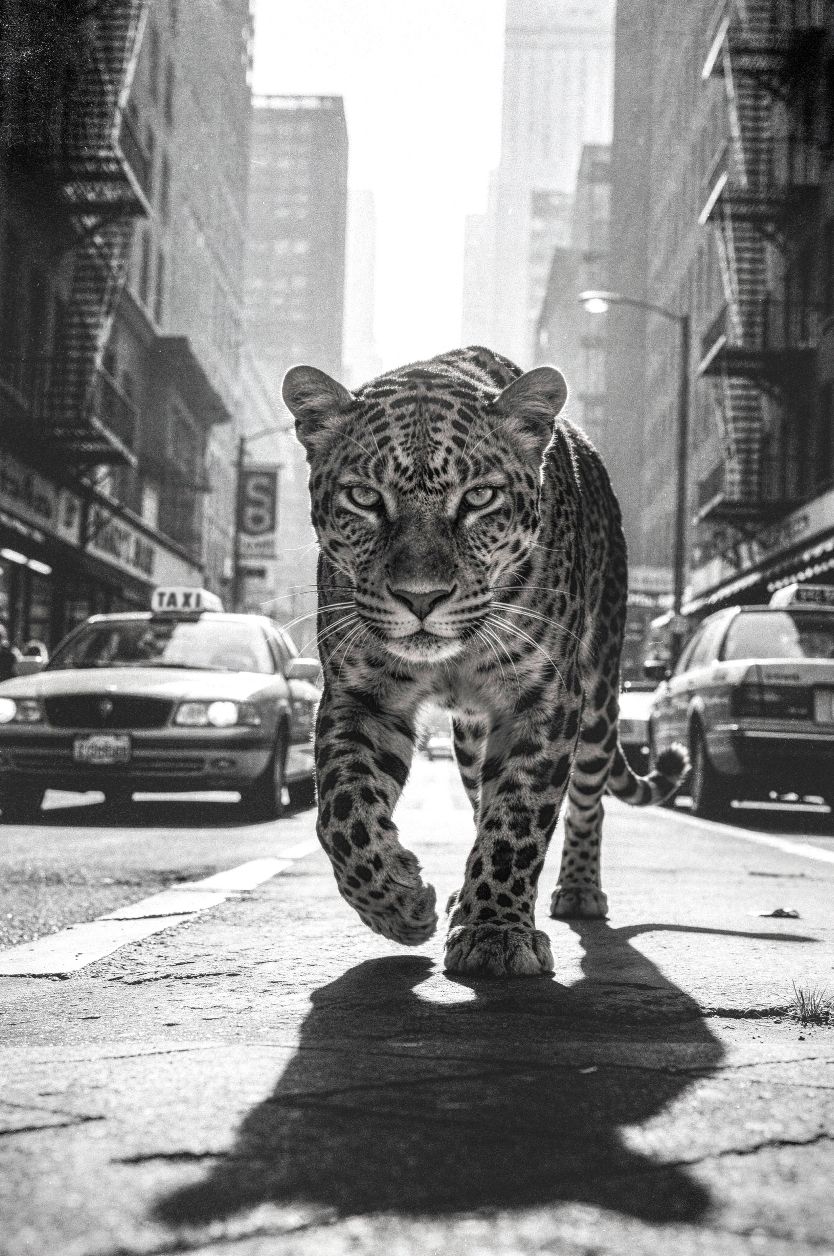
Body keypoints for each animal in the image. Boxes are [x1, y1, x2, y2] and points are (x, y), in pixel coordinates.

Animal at [282, 346, 688, 978]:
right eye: (365, 498)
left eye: (477, 499)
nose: (421, 598)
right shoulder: (360, 696)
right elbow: (342, 814)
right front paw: (398, 904)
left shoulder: (546, 699)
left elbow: (519, 817)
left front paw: (495, 931)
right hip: (472, 734)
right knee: (476, 793)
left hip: (600, 696)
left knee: (588, 799)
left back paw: (578, 890)